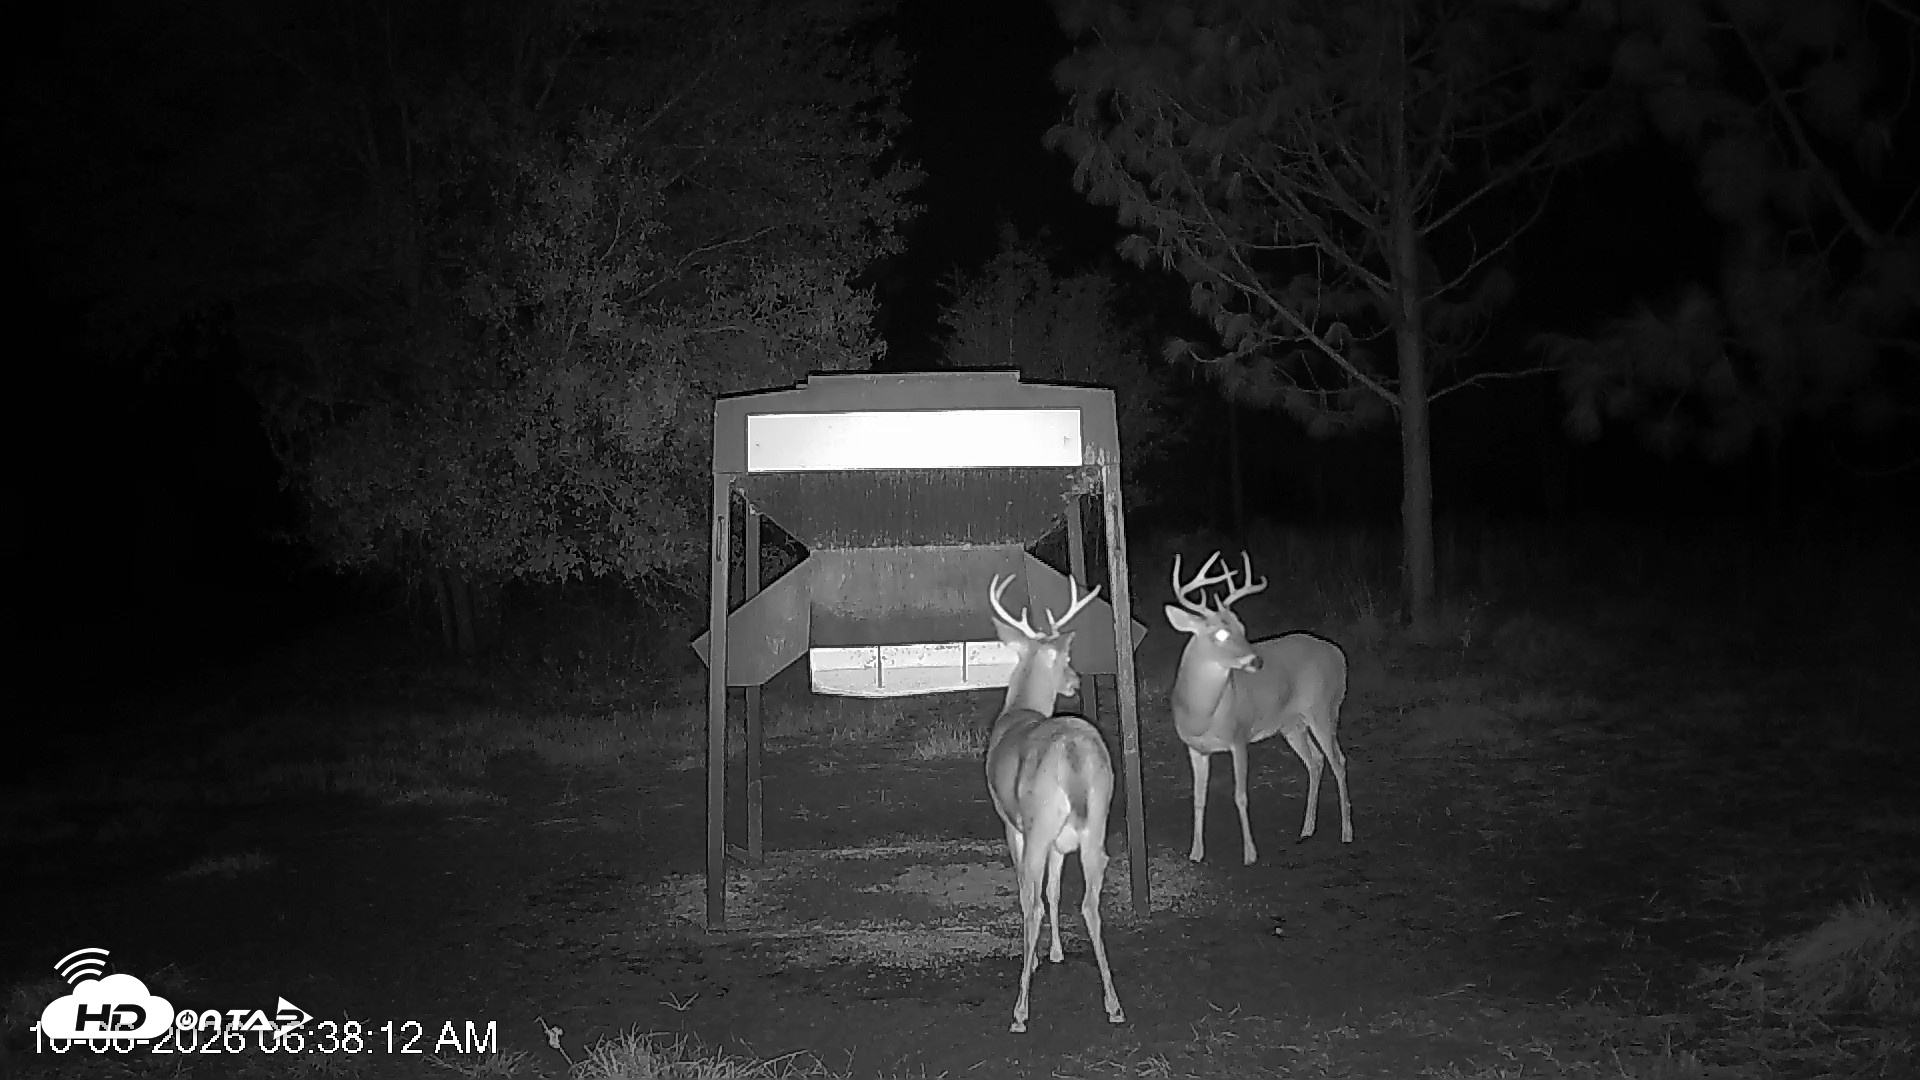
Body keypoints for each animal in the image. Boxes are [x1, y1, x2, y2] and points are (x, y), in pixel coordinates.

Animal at [983, 572, 1126, 1034]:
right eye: (1065, 659)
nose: (1076, 681)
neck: (1020, 710)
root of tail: (1073, 754)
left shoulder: (1012, 824)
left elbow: (1030, 893)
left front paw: (1036, 962)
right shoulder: (1062, 843)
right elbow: (1055, 889)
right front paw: (1058, 952)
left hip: (1040, 821)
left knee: (1031, 905)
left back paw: (1020, 1011)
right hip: (1096, 821)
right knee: (1090, 903)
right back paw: (1114, 1005)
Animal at [1164, 550, 1352, 865]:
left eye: (1242, 628)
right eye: (1220, 634)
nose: (1256, 661)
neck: (1203, 714)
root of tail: (1338, 654)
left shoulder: (1239, 737)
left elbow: (1240, 795)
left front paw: (1250, 854)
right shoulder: (1195, 748)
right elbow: (1198, 798)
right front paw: (1196, 852)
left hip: (1324, 709)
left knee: (1338, 760)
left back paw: (1347, 832)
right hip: (1292, 724)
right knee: (1315, 761)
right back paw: (1306, 829)